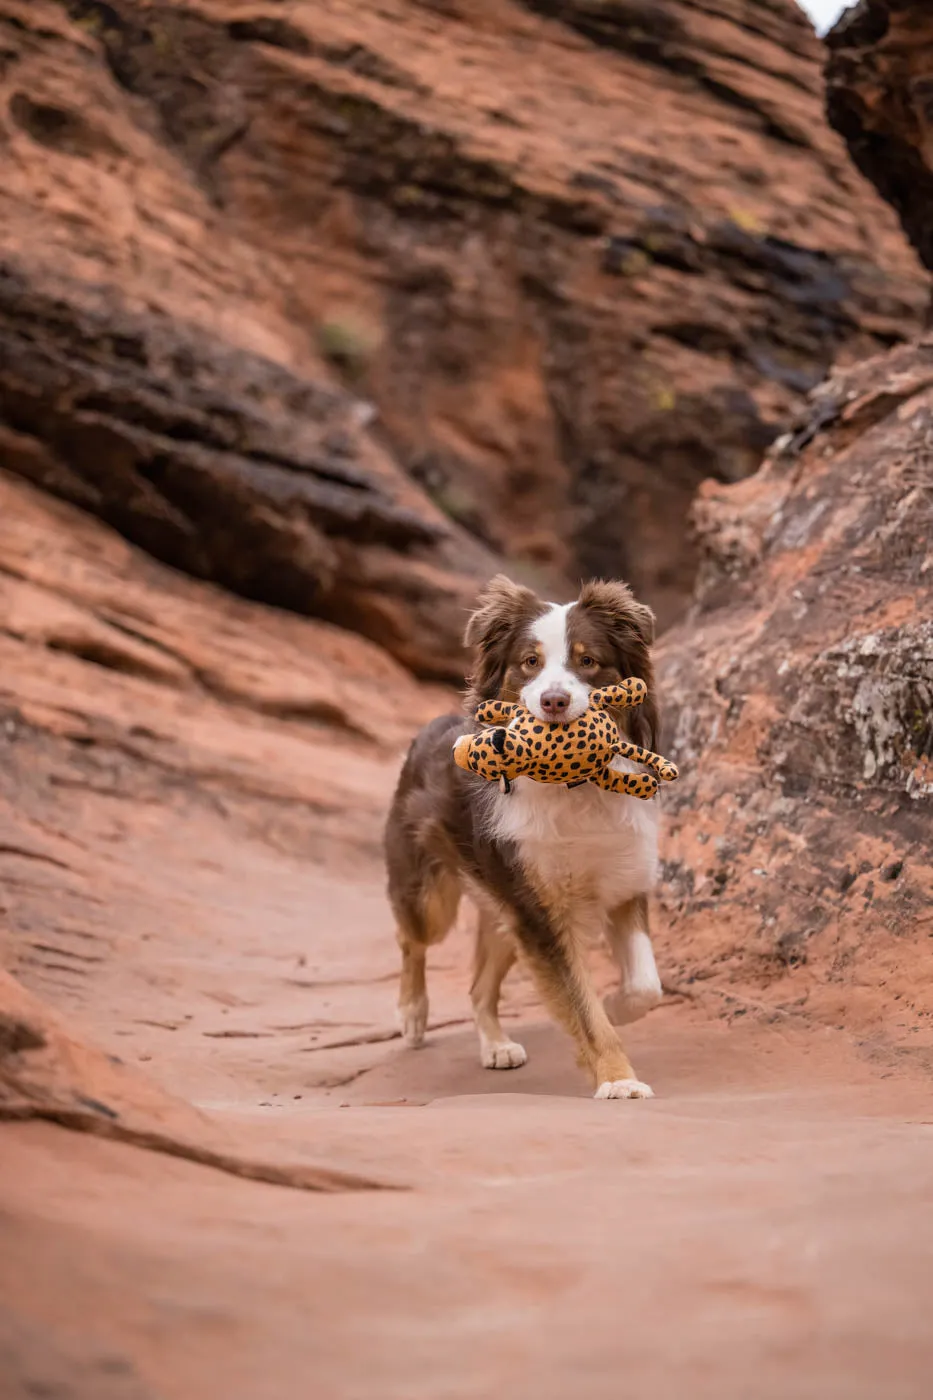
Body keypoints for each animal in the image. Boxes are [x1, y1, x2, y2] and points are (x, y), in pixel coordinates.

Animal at [383, 574, 661, 1097]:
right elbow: (582, 1007)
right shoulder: (538, 909)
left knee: (478, 987)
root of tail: (432, 724)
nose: (553, 702)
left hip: (501, 909)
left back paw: (495, 1045)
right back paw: (412, 1013)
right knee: (412, 939)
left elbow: (645, 988)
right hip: (434, 896)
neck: (574, 786)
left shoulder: (623, 879)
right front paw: (617, 1080)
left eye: (588, 661)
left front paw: (617, 1007)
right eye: (530, 662)